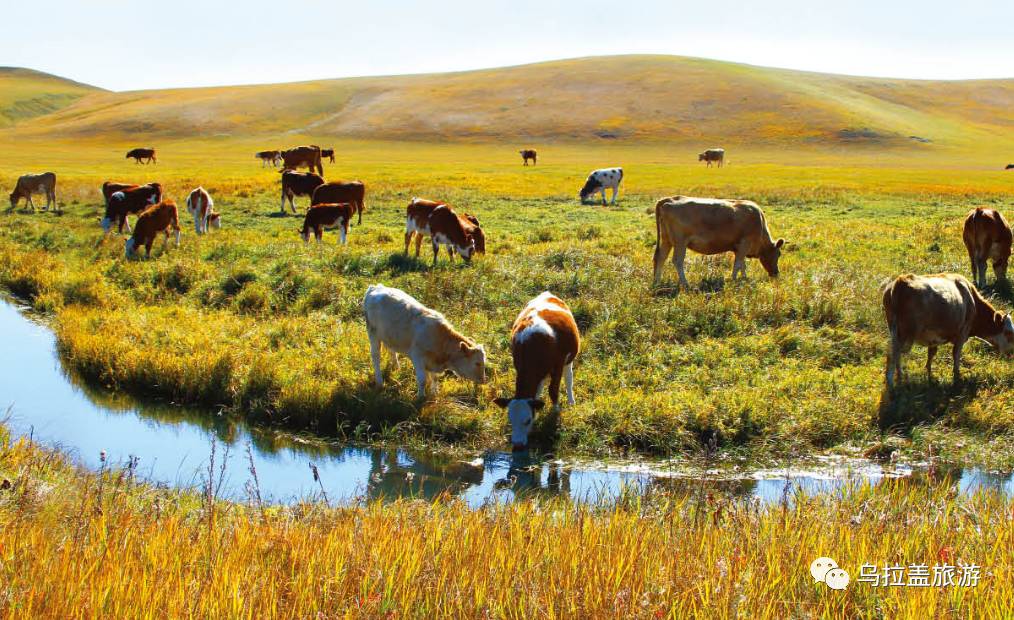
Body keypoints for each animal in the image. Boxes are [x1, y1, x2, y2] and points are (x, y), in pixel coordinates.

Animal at [494, 290, 584, 450]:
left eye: (527, 420)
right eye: (510, 420)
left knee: (569, 379)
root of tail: (547, 294)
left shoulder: (558, 365)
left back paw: (571, 401)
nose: (517, 444)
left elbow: (553, 391)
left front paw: (555, 412)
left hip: (569, 360)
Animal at [653, 196, 786, 288]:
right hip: (680, 242)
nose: (776, 273)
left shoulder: (739, 248)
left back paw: (657, 282)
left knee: (661, 258)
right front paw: (734, 280)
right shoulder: (745, 244)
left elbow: (742, 264)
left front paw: (744, 278)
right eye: (778, 254)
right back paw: (685, 283)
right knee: (677, 261)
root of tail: (670, 199)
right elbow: (738, 264)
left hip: (666, 240)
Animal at [880, 271, 1014, 387]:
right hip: (906, 334)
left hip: (895, 332)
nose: (1012, 353)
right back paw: (891, 383)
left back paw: (900, 376)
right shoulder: (962, 333)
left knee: (896, 355)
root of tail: (900, 282)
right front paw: (957, 376)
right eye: (1008, 333)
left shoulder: (933, 339)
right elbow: (956, 354)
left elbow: (931, 354)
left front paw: (929, 373)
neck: (972, 301)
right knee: (892, 354)